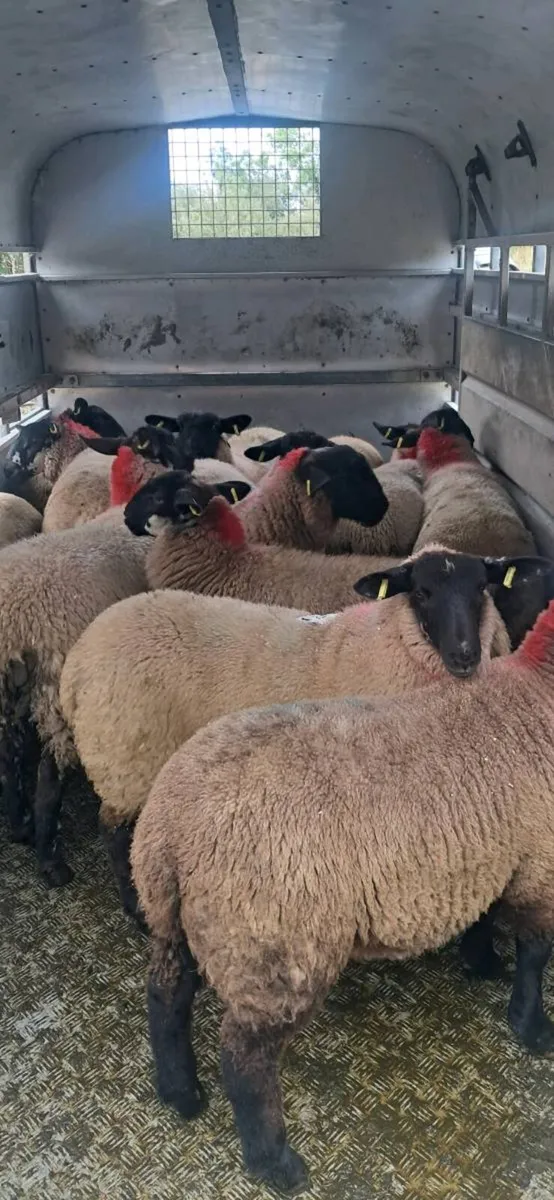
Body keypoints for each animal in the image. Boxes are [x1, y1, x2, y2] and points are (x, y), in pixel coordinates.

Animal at [0, 512, 151, 888]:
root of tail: (14, 623)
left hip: (13, 692)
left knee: (9, 759)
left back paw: (21, 826)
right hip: (56, 684)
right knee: (50, 778)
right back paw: (51, 862)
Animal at [60, 547, 520, 919]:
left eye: (481, 588)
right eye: (421, 592)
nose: (464, 655)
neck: (386, 642)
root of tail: (77, 662)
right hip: (126, 758)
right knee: (114, 833)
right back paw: (134, 908)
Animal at [132, 594, 554, 1190]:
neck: (539, 687)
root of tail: (167, 829)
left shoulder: (492, 853)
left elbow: (484, 915)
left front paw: (481, 963)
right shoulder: (540, 863)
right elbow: (536, 953)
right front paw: (533, 1027)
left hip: (185, 921)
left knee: (167, 997)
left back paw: (181, 1094)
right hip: (275, 944)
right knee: (244, 1056)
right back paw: (275, 1163)